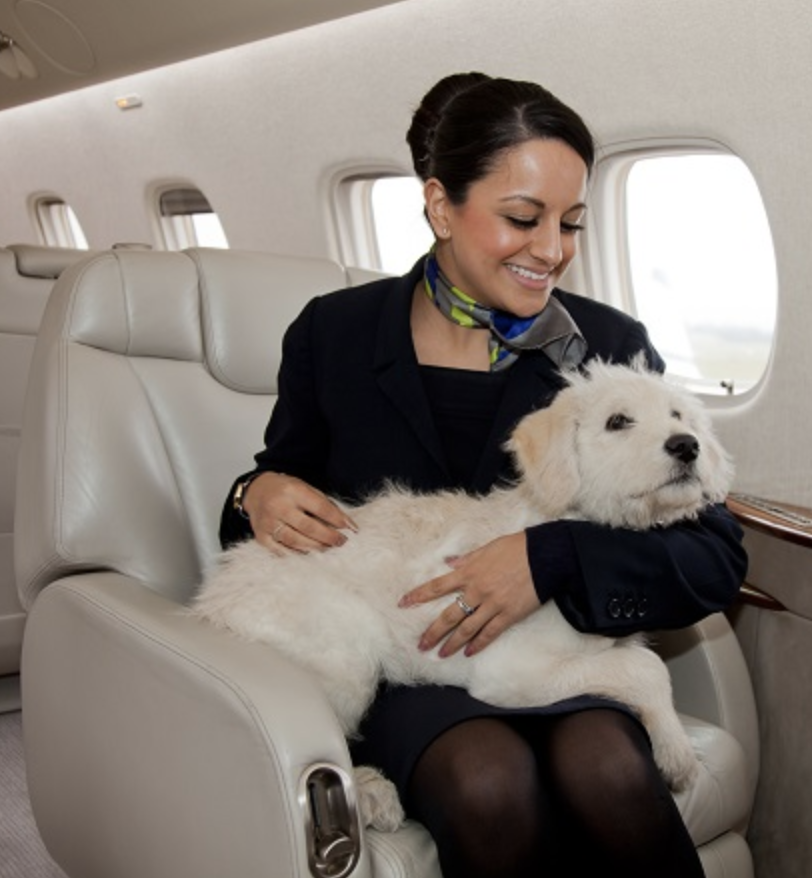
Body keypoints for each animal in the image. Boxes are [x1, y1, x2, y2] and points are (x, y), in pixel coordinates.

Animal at [193, 358, 732, 832]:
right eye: (617, 421)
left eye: (679, 416)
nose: (686, 445)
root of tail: (210, 602)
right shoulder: (512, 672)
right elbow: (645, 667)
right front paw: (677, 755)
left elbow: (640, 661)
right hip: (346, 654)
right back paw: (368, 791)